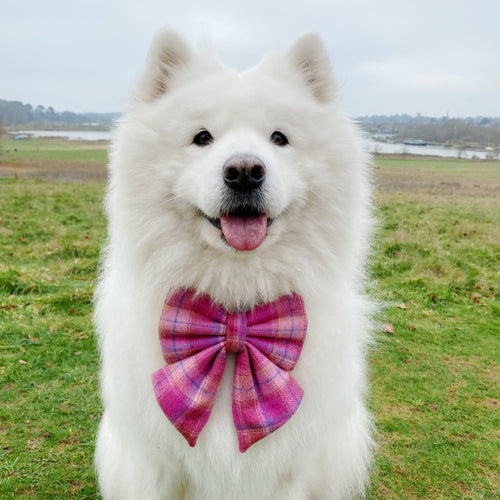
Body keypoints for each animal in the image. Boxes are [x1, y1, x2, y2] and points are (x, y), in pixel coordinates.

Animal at [95, 29, 374, 498]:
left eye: (279, 138)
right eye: (202, 137)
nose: (244, 171)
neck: (235, 309)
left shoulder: (287, 472)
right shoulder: (156, 466)